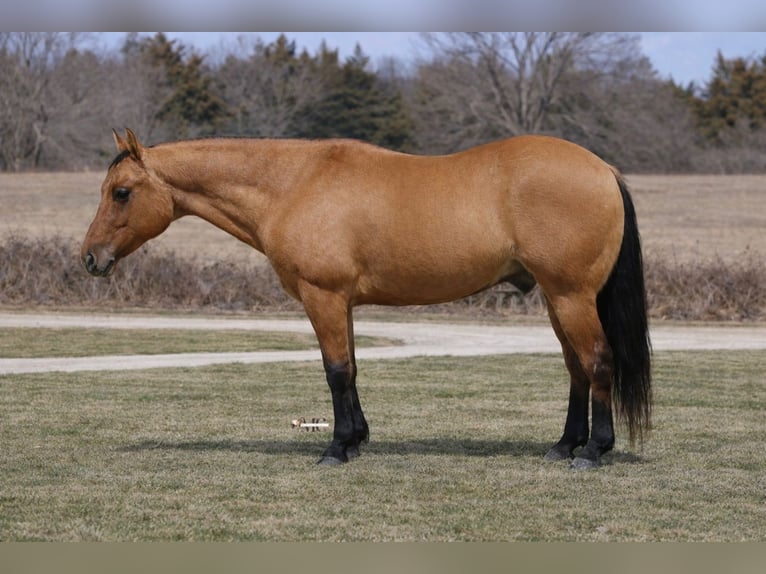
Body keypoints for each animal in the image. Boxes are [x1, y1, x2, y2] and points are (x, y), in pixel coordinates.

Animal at [82, 129, 651, 469]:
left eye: (121, 192)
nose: (90, 258)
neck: (294, 184)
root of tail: (603, 170)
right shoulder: (344, 304)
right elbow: (352, 368)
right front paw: (356, 438)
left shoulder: (324, 297)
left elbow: (336, 371)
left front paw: (335, 448)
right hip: (558, 300)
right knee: (577, 369)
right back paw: (564, 444)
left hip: (571, 296)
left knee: (598, 361)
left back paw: (593, 450)